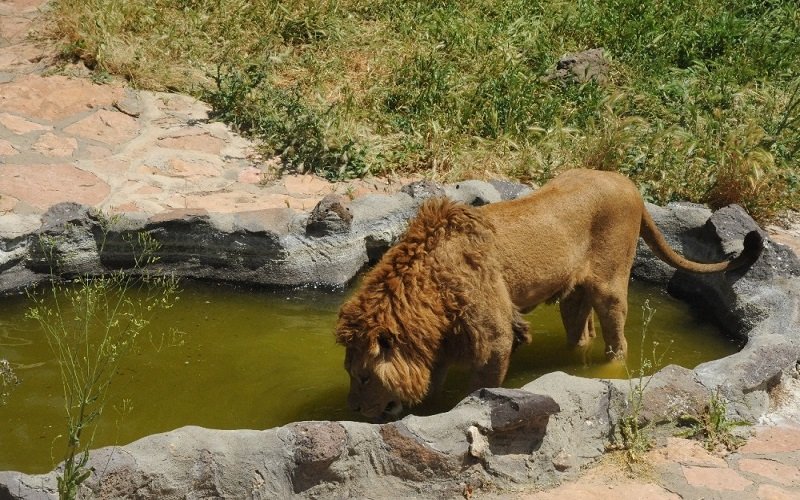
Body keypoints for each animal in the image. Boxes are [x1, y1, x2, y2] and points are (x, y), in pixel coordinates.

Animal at [332, 170, 764, 420]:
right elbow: (433, 384)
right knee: (582, 334)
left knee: (617, 342)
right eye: (351, 374)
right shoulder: (439, 341)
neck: (426, 285)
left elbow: (477, 390)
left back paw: (606, 373)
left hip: (610, 285)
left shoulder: (494, 338)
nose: (353, 410)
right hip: (574, 296)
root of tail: (628, 183)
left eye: (364, 376)